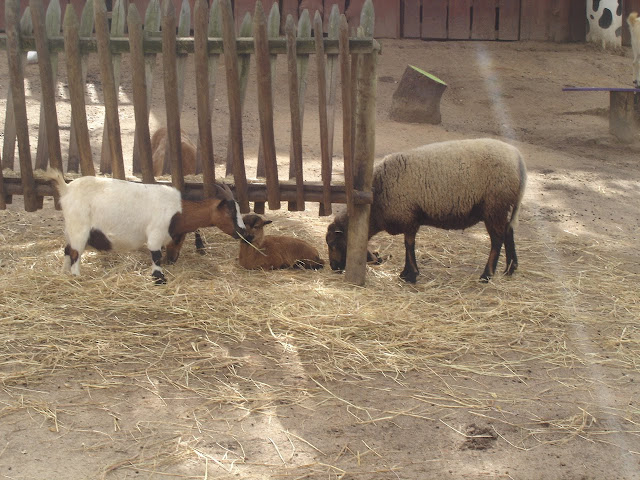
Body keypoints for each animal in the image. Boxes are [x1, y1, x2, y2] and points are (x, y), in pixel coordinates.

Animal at [44, 168, 246, 284]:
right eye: (230, 211)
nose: (245, 233)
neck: (178, 209)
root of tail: (66, 189)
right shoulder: (155, 233)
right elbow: (156, 256)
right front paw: (159, 279)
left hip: (71, 230)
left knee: (67, 250)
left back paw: (64, 274)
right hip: (80, 229)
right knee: (75, 253)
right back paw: (76, 277)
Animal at [325, 138, 527, 283]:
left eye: (333, 243)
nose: (334, 268)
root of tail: (518, 159)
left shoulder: (407, 217)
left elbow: (408, 244)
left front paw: (409, 275)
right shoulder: (410, 218)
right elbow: (409, 244)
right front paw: (408, 273)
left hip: (494, 205)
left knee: (497, 239)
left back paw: (487, 275)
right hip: (501, 207)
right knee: (508, 232)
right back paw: (510, 268)